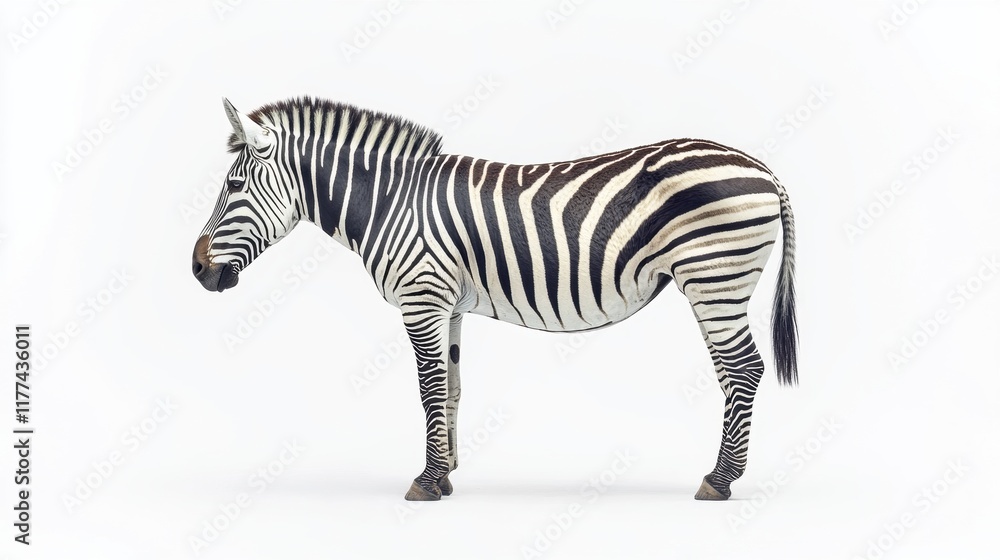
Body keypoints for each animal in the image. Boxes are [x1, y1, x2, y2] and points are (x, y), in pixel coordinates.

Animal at [192, 96, 798, 502]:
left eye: (234, 187)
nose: (197, 269)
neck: (391, 202)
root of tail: (762, 167)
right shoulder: (448, 303)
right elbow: (453, 387)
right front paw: (447, 473)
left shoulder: (422, 297)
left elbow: (429, 389)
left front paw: (426, 482)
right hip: (719, 283)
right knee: (740, 371)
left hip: (714, 279)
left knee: (743, 369)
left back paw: (719, 480)